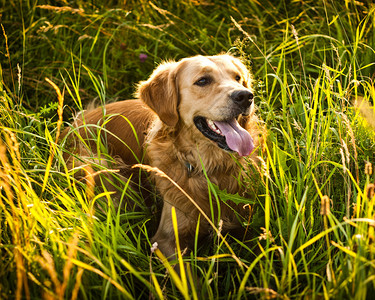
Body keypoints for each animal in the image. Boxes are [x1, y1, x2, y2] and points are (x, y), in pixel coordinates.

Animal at [62, 54, 262, 260]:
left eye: (237, 78)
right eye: (203, 81)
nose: (245, 96)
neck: (211, 168)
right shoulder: (166, 239)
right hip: (99, 166)